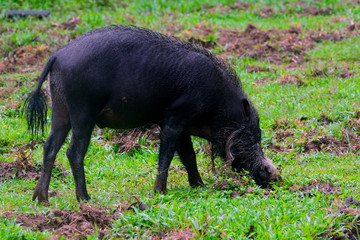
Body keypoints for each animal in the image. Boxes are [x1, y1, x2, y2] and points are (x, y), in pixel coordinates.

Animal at [25, 25, 278, 202]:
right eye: (253, 135)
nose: (272, 173)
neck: (217, 101)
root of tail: (57, 55)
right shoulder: (174, 118)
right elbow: (166, 156)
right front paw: (160, 192)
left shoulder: (181, 126)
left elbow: (188, 156)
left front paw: (200, 186)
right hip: (83, 112)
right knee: (73, 152)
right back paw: (85, 199)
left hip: (60, 111)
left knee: (49, 147)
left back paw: (41, 199)